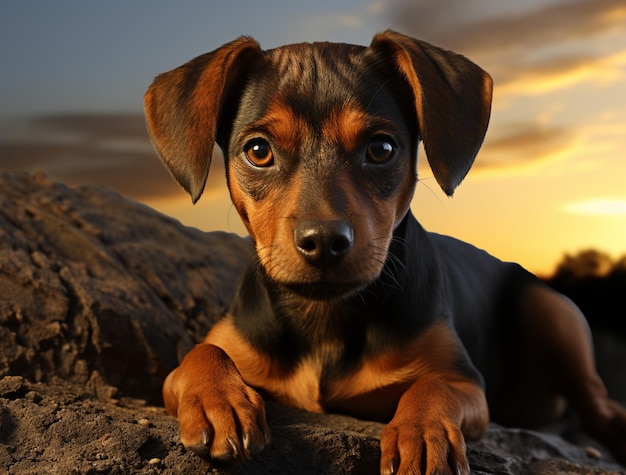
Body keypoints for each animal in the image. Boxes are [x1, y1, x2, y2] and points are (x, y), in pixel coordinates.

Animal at [143, 30, 624, 475]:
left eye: (381, 148)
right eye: (258, 150)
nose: (324, 241)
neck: (325, 317)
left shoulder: (466, 382)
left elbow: (432, 386)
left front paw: (423, 434)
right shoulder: (192, 365)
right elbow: (201, 354)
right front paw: (218, 402)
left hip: (554, 312)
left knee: (597, 402)